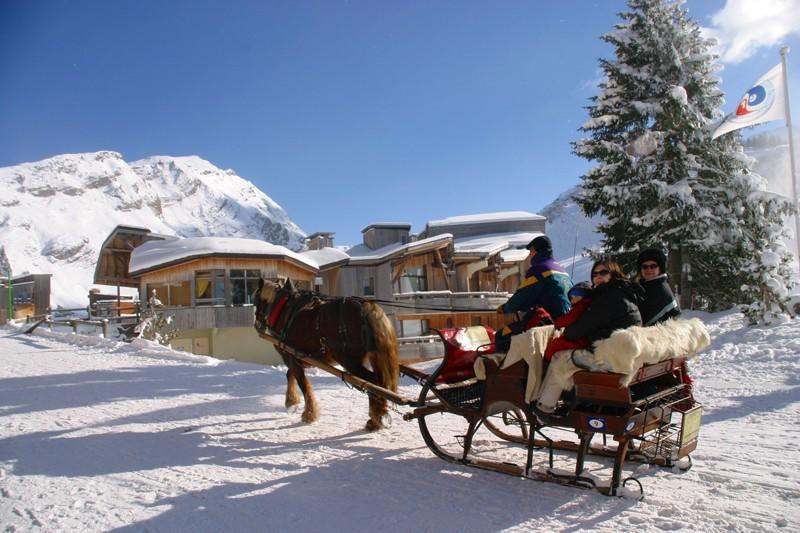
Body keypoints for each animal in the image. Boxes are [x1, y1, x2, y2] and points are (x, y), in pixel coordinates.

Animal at [253, 276, 400, 430]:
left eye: (255, 299)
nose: (257, 324)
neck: (283, 310)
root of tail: (365, 307)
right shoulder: (296, 357)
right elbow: (290, 375)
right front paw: (291, 402)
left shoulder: (291, 356)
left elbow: (303, 383)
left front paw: (309, 414)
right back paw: (378, 416)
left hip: (349, 361)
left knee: (372, 382)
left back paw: (375, 419)